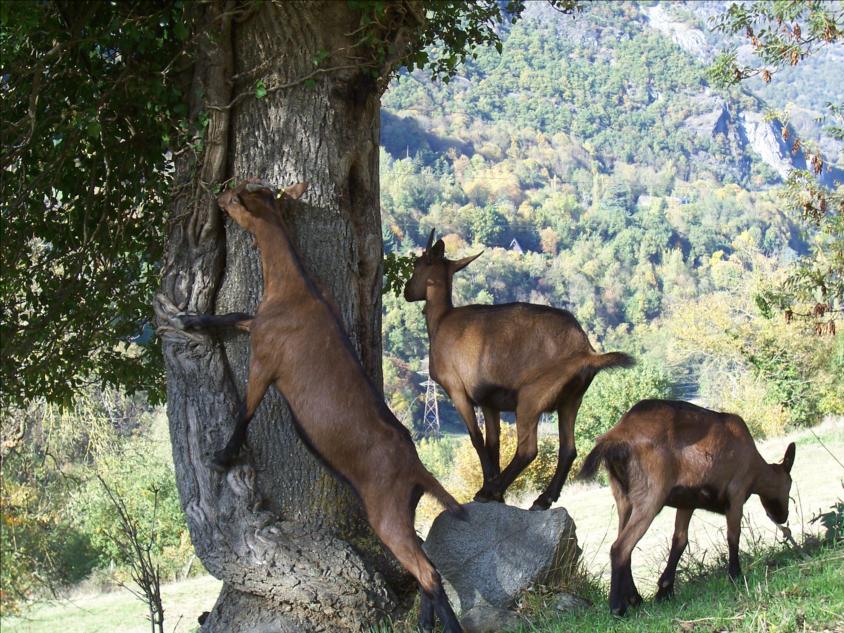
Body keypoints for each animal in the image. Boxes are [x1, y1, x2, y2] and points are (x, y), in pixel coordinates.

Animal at [178, 179, 464, 632]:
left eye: (240, 197)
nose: (219, 197)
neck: (295, 287)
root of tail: (417, 469)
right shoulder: (256, 324)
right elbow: (231, 314)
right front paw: (189, 320)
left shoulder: (265, 359)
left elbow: (245, 410)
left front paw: (222, 457)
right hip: (404, 510)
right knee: (426, 566)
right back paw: (424, 623)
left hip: (385, 514)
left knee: (427, 572)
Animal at [404, 230, 632, 512]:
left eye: (417, 264)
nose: (407, 291)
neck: (441, 321)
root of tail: (585, 351)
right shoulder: (489, 402)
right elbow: (493, 443)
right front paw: (492, 488)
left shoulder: (457, 390)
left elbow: (476, 438)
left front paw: (489, 490)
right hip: (571, 399)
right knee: (568, 448)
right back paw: (541, 499)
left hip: (531, 398)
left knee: (528, 449)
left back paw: (497, 490)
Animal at [576, 400, 796, 616]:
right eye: (789, 485)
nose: (782, 516)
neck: (756, 469)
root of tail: (614, 438)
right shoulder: (736, 492)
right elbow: (733, 535)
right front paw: (735, 575)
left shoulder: (687, 502)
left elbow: (680, 540)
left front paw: (664, 590)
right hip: (651, 494)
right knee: (620, 547)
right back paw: (617, 607)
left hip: (623, 497)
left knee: (624, 542)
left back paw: (635, 598)